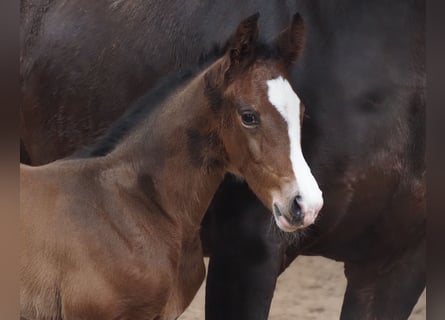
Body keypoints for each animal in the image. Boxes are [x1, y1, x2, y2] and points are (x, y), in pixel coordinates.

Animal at [20, 0, 424, 320]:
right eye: (248, 116)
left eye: (302, 112)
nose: (305, 204)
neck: (129, 202)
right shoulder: (246, 256)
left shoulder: (391, 264)